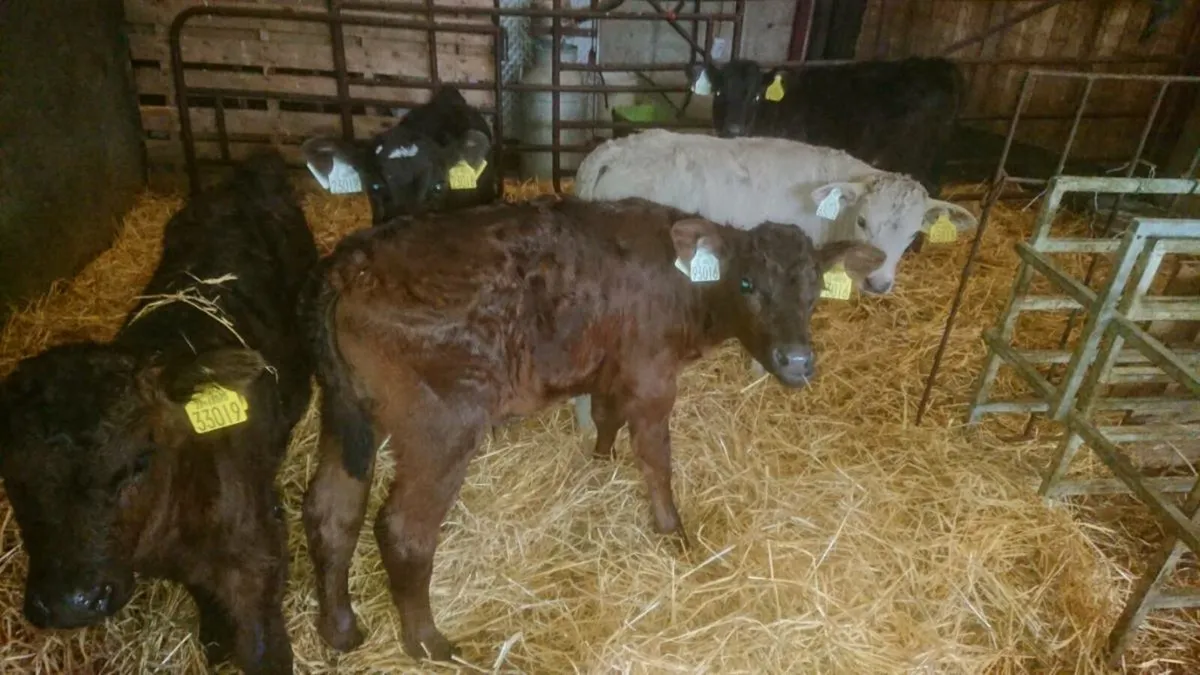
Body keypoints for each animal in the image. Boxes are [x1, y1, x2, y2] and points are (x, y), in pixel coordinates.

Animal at [0, 153, 317, 675]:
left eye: (138, 462)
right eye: (11, 476)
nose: (70, 603)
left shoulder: (257, 558)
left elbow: (263, 645)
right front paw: (213, 636)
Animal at [301, 195, 885, 661]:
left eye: (814, 290)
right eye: (747, 284)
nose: (797, 361)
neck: (684, 283)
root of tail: (351, 262)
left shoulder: (614, 366)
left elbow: (607, 416)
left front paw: (600, 463)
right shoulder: (652, 377)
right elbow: (655, 457)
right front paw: (673, 531)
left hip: (347, 412)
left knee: (331, 509)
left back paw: (340, 629)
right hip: (441, 427)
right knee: (404, 530)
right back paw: (429, 644)